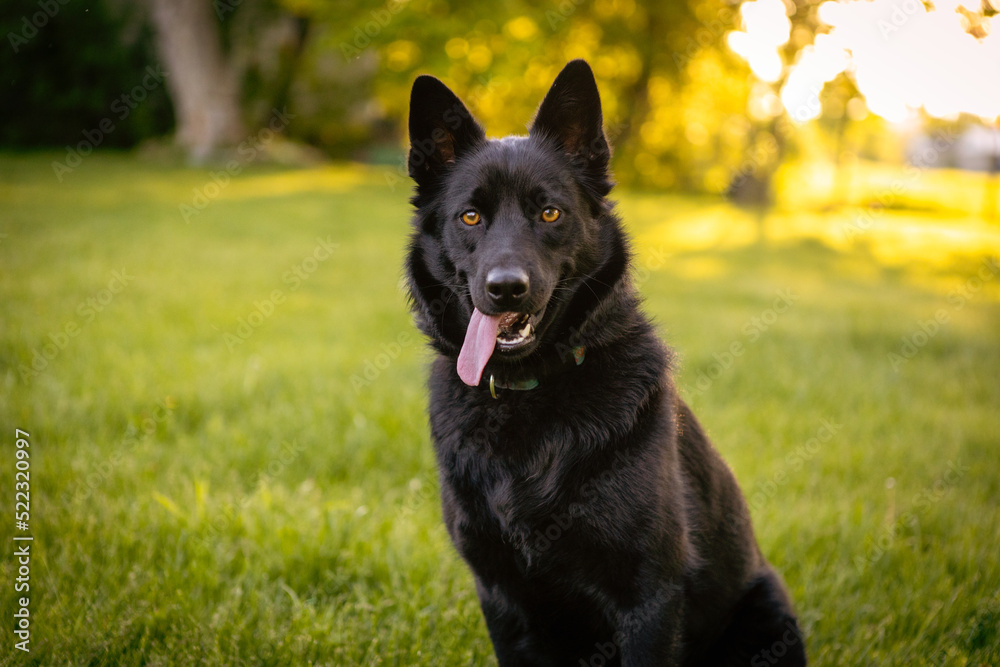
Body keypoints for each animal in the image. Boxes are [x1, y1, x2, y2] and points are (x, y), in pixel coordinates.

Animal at [404, 60, 804, 664]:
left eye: (550, 212)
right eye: (470, 217)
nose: (506, 289)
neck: (529, 399)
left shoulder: (649, 599)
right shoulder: (501, 597)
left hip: (769, 608)